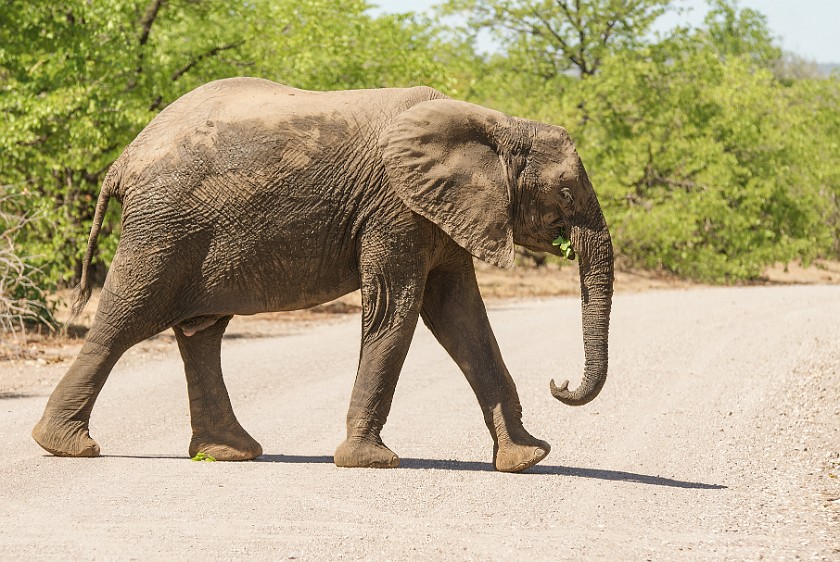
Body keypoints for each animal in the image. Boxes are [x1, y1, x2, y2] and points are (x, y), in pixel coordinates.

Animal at [32, 76, 612, 470]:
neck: (496, 122)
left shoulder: (439, 212)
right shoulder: (394, 207)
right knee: (123, 322)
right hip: (163, 228)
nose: (559, 382)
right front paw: (370, 462)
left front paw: (527, 459)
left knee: (201, 334)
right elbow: (396, 312)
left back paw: (231, 453)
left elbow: (461, 318)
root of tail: (124, 158)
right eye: (565, 193)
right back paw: (66, 446)